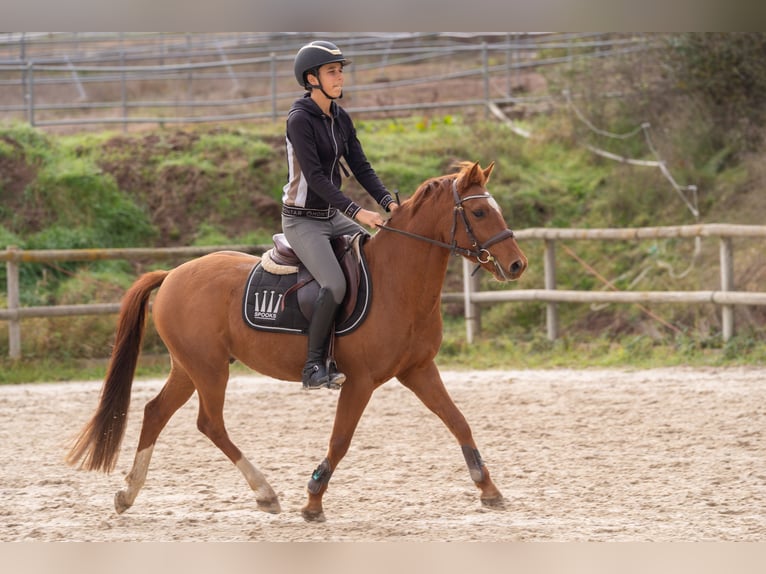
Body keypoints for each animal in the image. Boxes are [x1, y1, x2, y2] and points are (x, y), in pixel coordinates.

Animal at [66, 161, 528, 522]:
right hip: (208, 369)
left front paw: (489, 489)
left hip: (190, 366)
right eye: (480, 211)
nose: (517, 265)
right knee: (209, 423)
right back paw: (265, 493)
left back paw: (128, 494)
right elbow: (340, 440)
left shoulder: (418, 370)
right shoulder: (360, 381)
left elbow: (458, 421)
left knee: (156, 413)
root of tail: (174, 273)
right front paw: (313, 500)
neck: (398, 280)